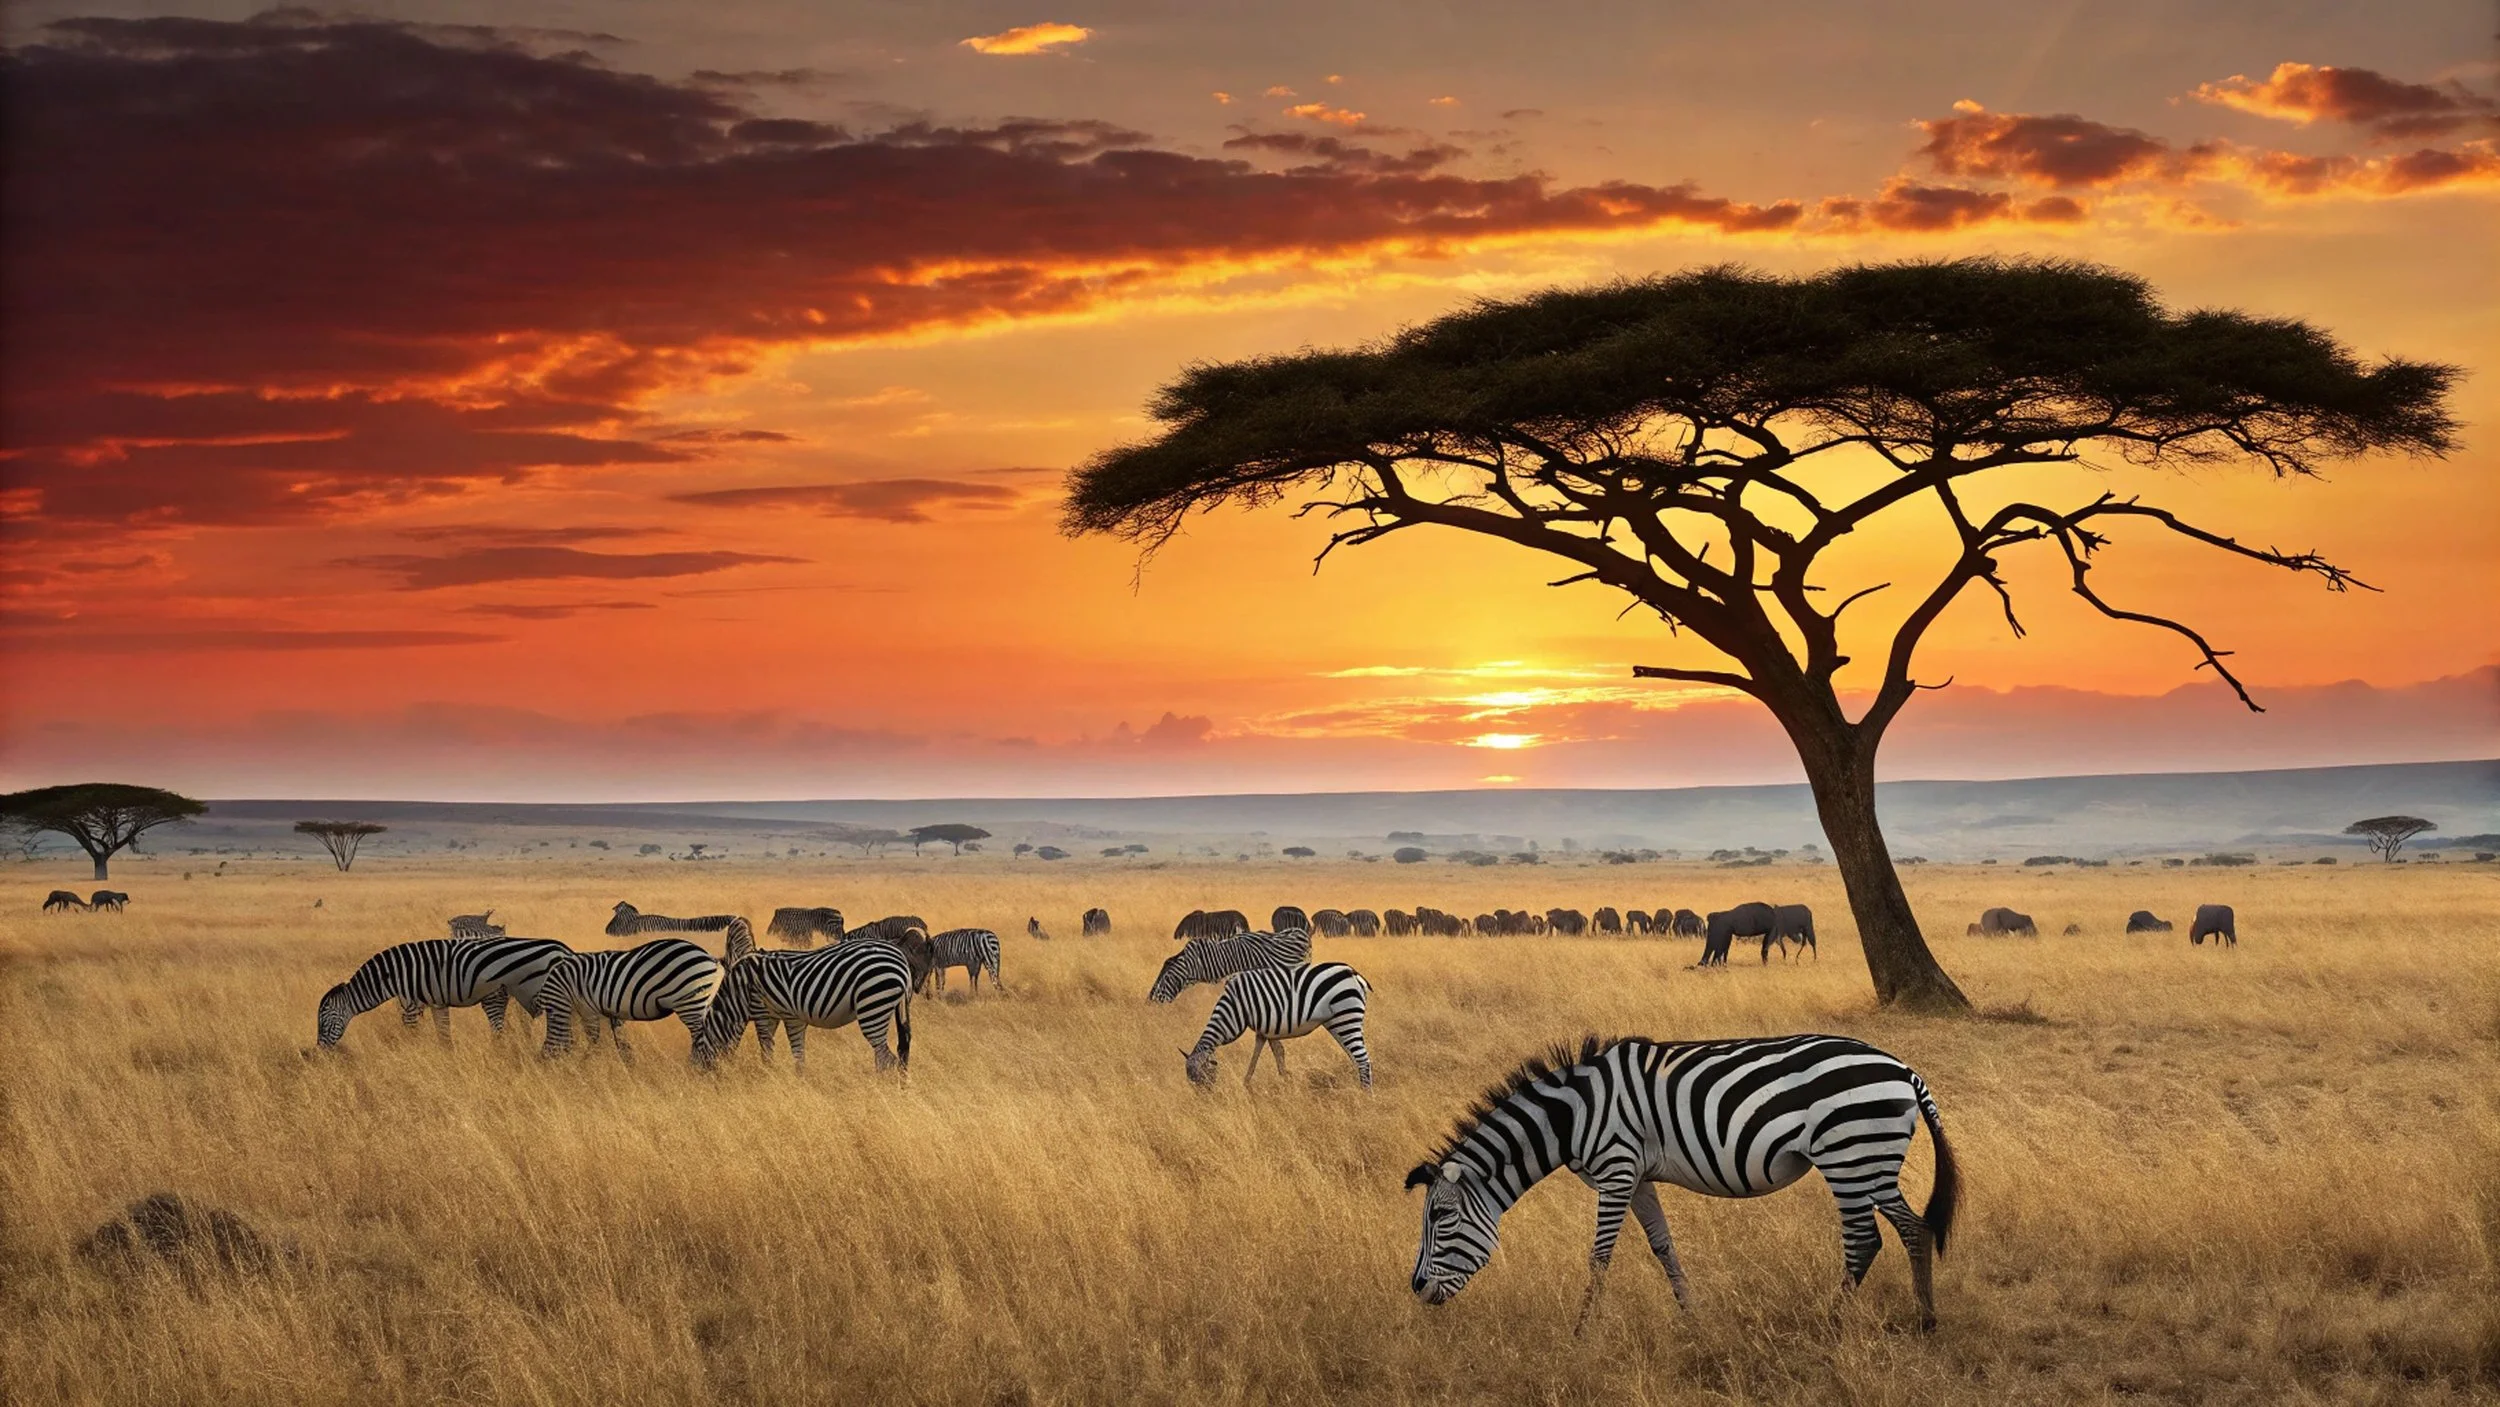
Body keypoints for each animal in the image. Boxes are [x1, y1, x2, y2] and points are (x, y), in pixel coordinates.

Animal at [318, 937, 575, 1048]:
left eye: (324, 1021)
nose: (321, 1052)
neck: (394, 974)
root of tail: (564, 948)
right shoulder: (436, 1001)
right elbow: (443, 1033)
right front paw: (444, 1055)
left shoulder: (411, 1002)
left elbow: (411, 1032)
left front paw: (411, 1054)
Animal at [537, 938, 724, 1061]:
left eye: (550, 1014)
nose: (542, 1059)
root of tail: (711, 958)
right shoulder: (603, 1011)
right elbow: (615, 1041)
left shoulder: (588, 1008)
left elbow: (594, 1039)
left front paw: (590, 1065)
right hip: (701, 1002)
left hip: (690, 1002)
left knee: (700, 1039)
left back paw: (697, 1067)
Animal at [696, 940, 912, 1071]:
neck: (736, 995)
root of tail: (900, 958)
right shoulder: (780, 1015)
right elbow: (795, 1054)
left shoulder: (767, 1012)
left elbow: (768, 1048)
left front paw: (767, 1075)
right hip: (897, 1006)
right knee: (900, 1052)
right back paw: (902, 1087)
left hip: (873, 1003)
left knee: (886, 1058)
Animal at [1180, 962, 1373, 1091]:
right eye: (1191, 1082)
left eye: (1204, 1078)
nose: (1207, 1103)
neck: (1235, 1009)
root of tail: (1352, 972)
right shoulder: (1265, 1031)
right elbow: (1269, 1057)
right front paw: (1282, 1083)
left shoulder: (1265, 1027)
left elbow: (1269, 1056)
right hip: (1336, 1021)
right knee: (1355, 1057)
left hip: (1347, 1015)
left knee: (1363, 1059)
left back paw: (1365, 1095)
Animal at [1406, 1033, 1959, 1332]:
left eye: (1442, 1217)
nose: (1417, 1290)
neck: (1571, 1114)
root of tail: (1903, 1069)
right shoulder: (1638, 1176)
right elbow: (1663, 1246)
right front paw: (1693, 1319)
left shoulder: (1616, 1167)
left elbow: (1600, 1256)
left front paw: (1581, 1332)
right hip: (1873, 1161)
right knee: (1915, 1228)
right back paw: (1927, 1321)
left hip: (1850, 1156)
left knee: (1865, 1241)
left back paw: (1831, 1324)